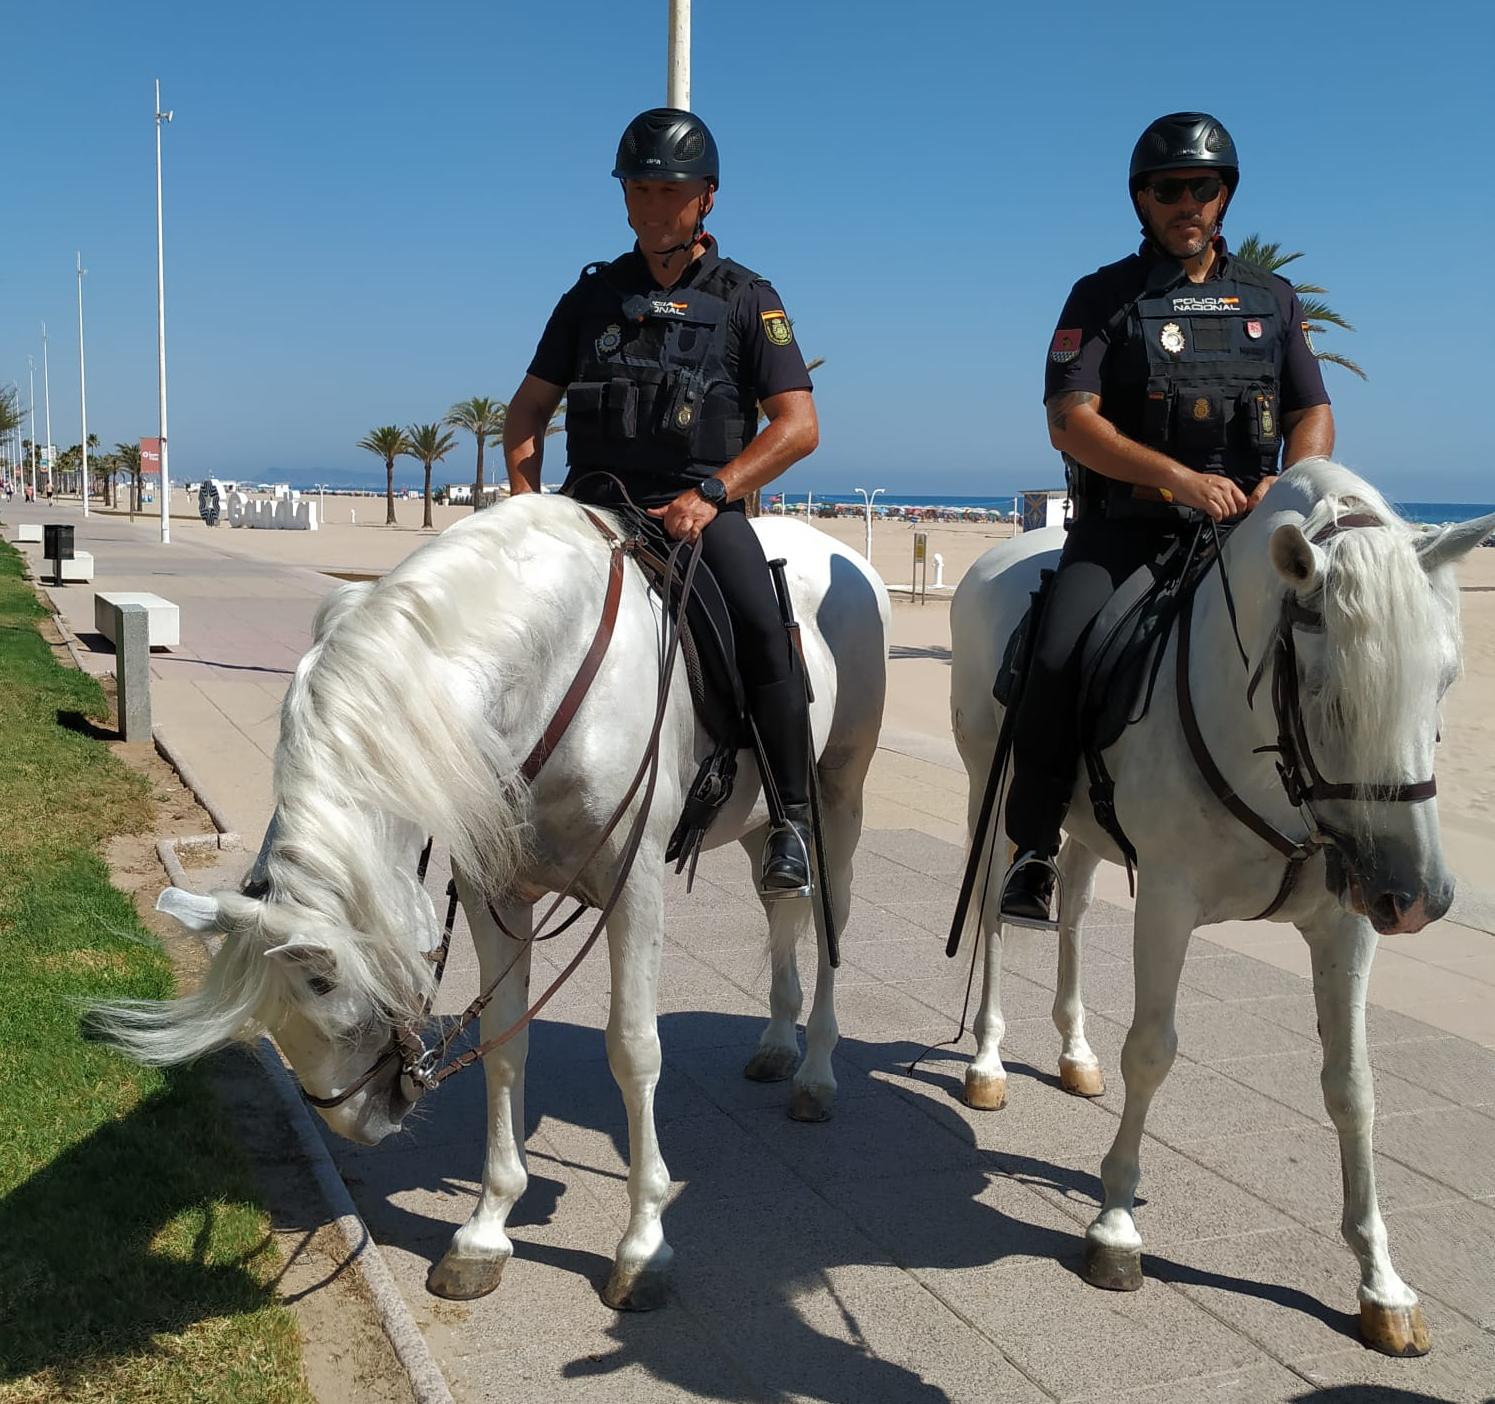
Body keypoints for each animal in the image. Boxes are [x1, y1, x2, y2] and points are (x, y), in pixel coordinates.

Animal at [92, 490, 889, 1310]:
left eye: (332, 997)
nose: (357, 1124)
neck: (538, 674)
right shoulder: (493, 892)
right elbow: (505, 1043)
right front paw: (486, 1228)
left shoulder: (634, 888)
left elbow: (634, 1050)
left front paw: (643, 1245)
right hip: (758, 823)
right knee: (779, 908)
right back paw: (776, 1042)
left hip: (837, 798)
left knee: (827, 920)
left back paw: (815, 1070)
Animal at [948, 458, 1494, 1356]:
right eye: (1327, 692)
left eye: (1445, 680)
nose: (1416, 898)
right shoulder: (1168, 902)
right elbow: (1151, 1052)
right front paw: (1115, 1227)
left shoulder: (1345, 924)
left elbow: (1352, 1086)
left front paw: (1380, 1282)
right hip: (990, 801)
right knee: (996, 914)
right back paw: (988, 1063)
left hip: (1087, 830)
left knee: (1072, 911)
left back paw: (1073, 1053)